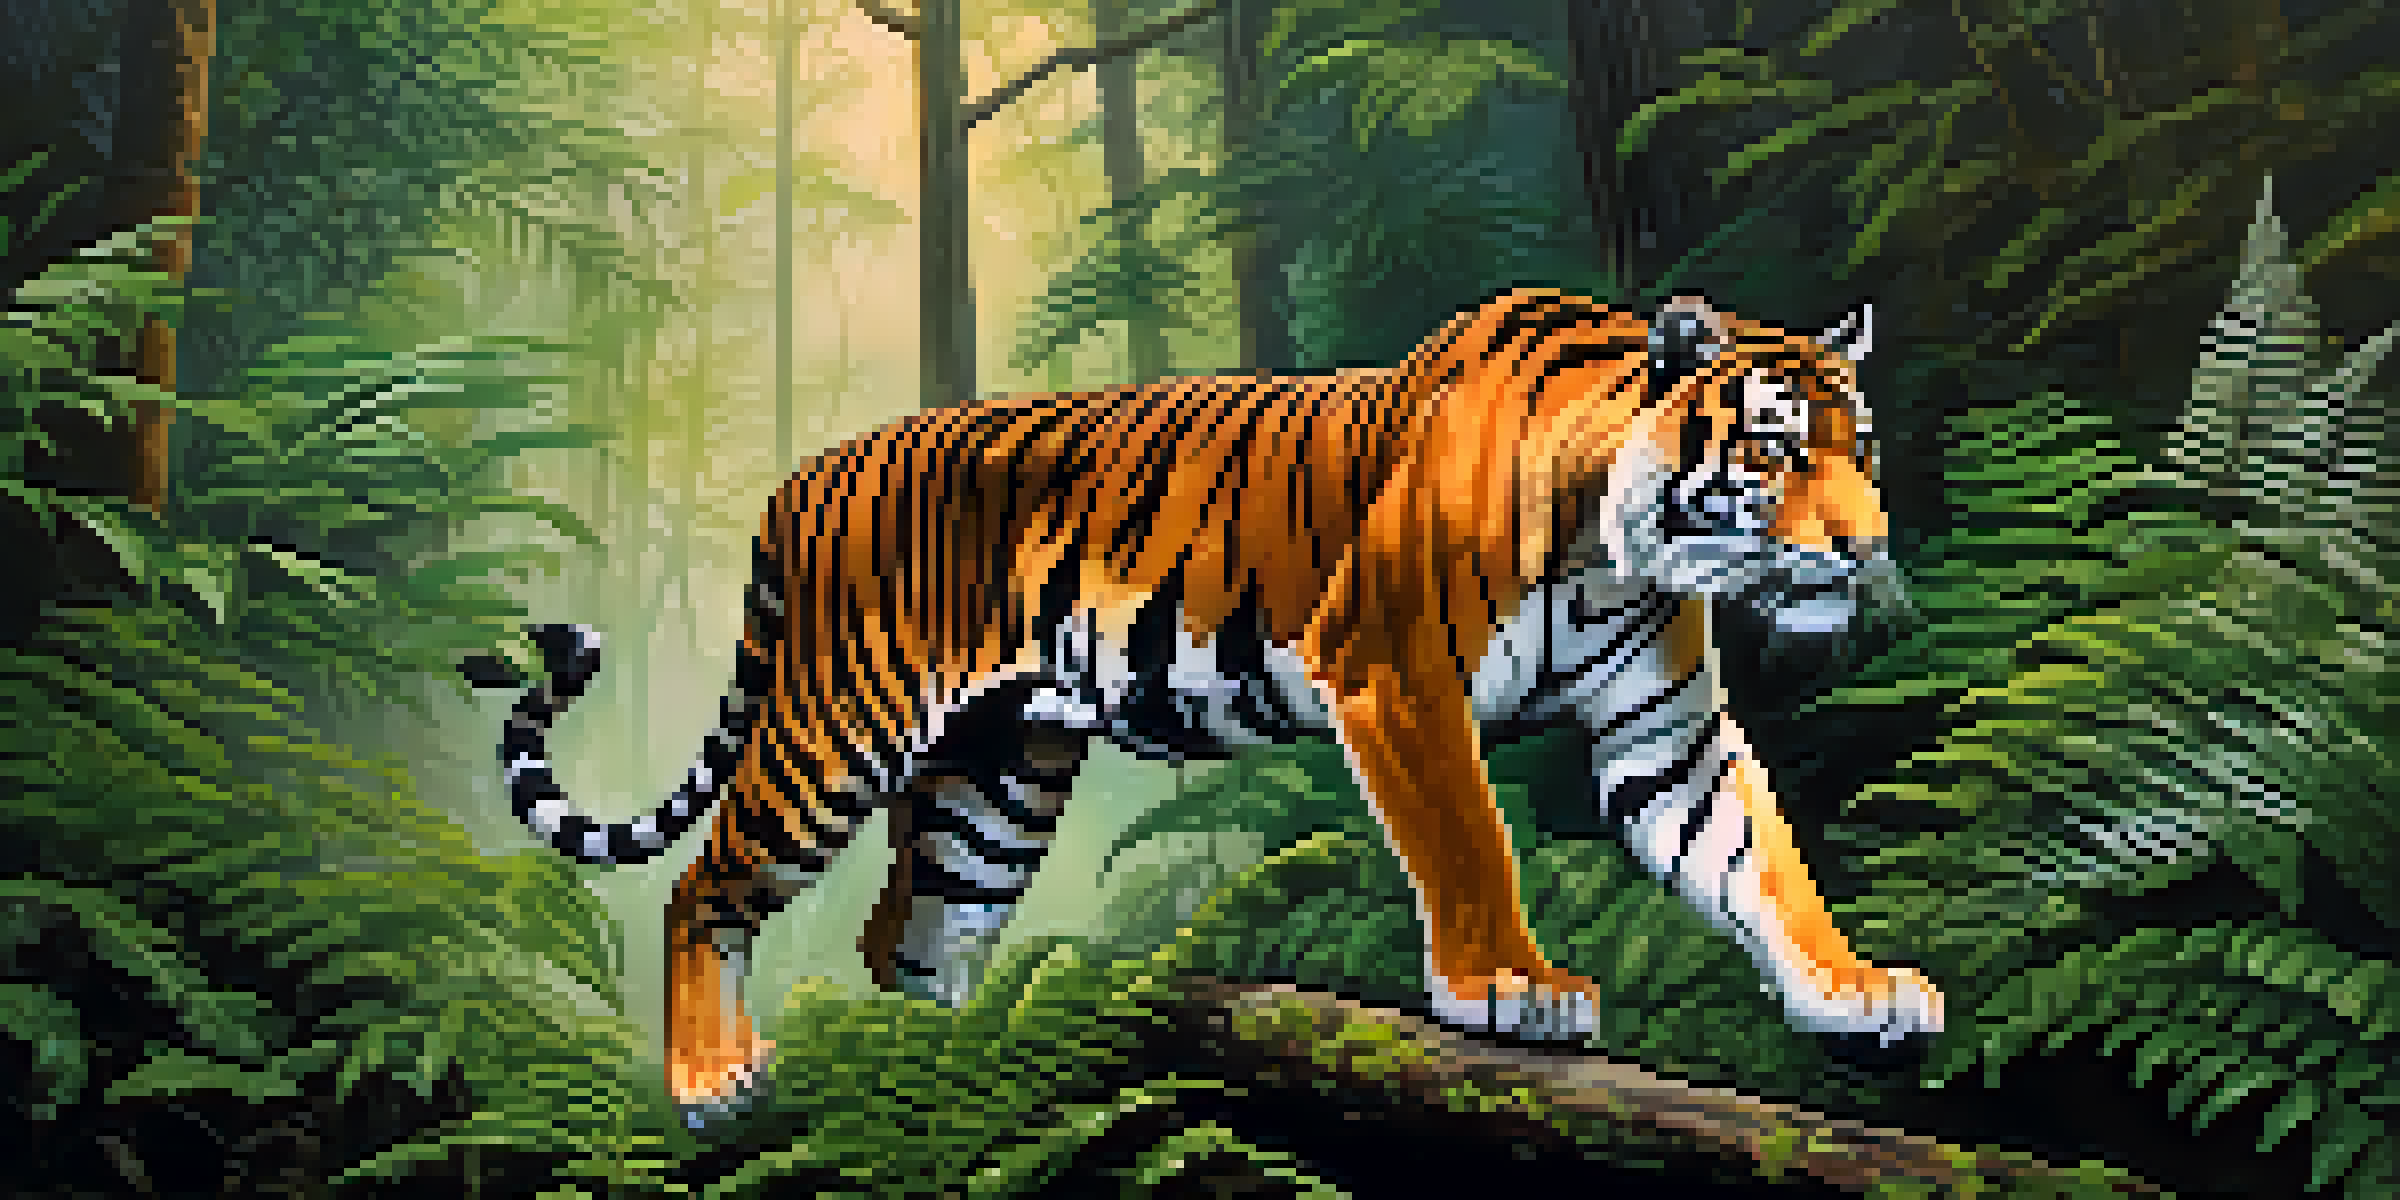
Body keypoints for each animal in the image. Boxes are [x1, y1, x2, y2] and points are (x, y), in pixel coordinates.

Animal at [471, 288, 1942, 1126]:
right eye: (1773, 448)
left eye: (1863, 446)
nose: (1868, 549)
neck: (1614, 547)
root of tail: (796, 480)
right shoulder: (1398, 676)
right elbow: (1472, 841)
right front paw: (1512, 988)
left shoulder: (1664, 729)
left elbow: (1759, 859)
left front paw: (1855, 990)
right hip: (841, 726)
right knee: (703, 884)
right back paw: (710, 1080)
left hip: (997, 781)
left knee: (912, 933)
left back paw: (940, 1071)